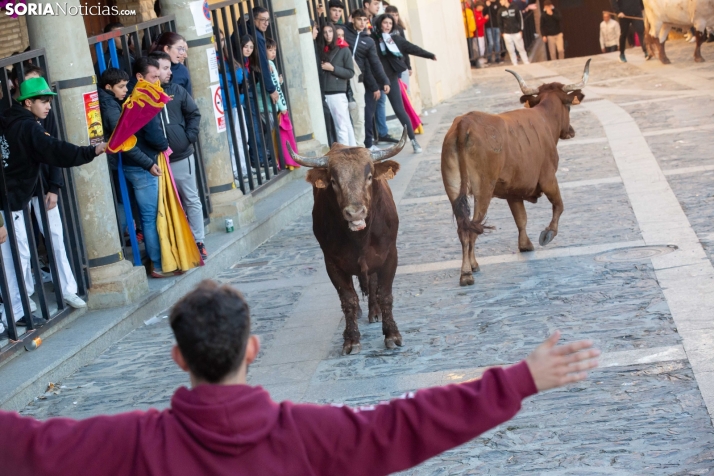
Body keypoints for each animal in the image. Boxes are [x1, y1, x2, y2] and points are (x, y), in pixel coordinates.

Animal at [286, 128, 406, 356]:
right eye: (334, 181)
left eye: (369, 176)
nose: (355, 212)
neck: (360, 238)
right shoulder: (332, 262)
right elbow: (348, 299)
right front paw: (351, 340)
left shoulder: (389, 255)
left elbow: (385, 294)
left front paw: (392, 335)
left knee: (372, 283)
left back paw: (374, 312)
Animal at [440, 60, 588, 286]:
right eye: (569, 106)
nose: (570, 131)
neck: (544, 119)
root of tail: (464, 123)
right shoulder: (548, 179)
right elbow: (559, 205)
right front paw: (548, 234)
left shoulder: (513, 191)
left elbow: (521, 218)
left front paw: (525, 244)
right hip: (484, 189)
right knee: (471, 228)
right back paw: (467, 272)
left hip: (455, 190)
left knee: (464, 227)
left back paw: (470, 266)